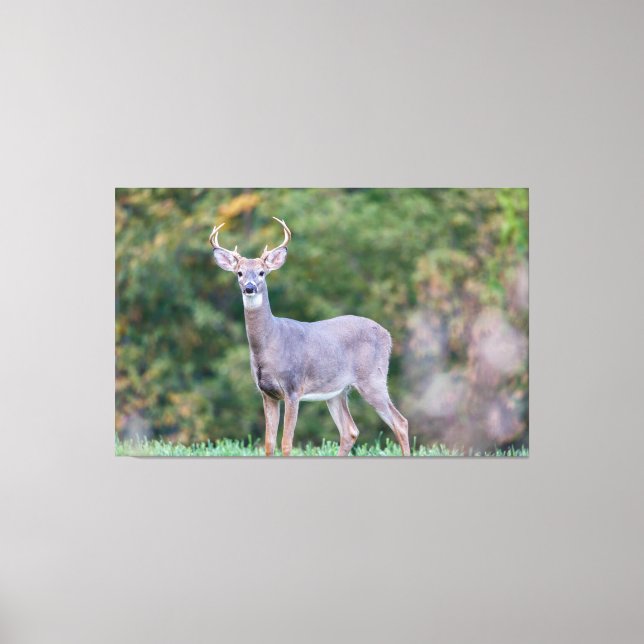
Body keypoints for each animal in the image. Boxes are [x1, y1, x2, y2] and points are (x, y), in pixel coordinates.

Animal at [210, 217, 410, 456]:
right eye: (239, 273)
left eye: (262, 272)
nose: (249, 288)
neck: (269, 344)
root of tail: (388, 335)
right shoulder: (266, 393)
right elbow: (268, 444)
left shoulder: (293, 388)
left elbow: (286, 443)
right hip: (337, 391)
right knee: (350, 430)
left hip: (373, 377)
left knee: (400, 422)